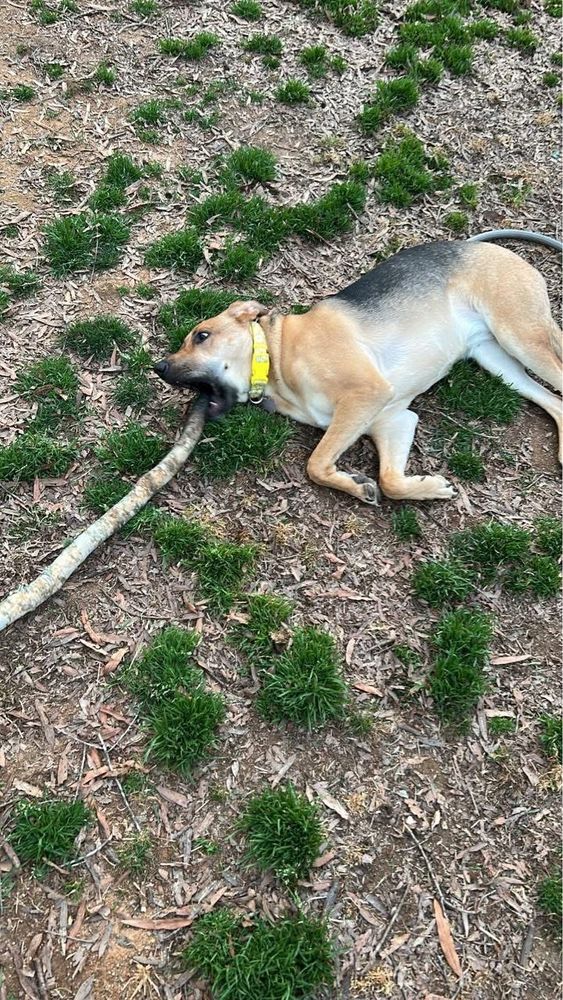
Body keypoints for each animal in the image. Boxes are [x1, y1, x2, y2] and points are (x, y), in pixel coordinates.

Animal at [154, 240, 562, 504]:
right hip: (498, 362)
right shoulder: (392, 420)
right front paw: (419, 488)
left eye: (201, 336)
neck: (275, 356)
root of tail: (501, 251)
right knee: (553, 401)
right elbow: (390, 480)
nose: (159, 367)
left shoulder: (365, 394)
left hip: (520, 337)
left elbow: (316, 463)